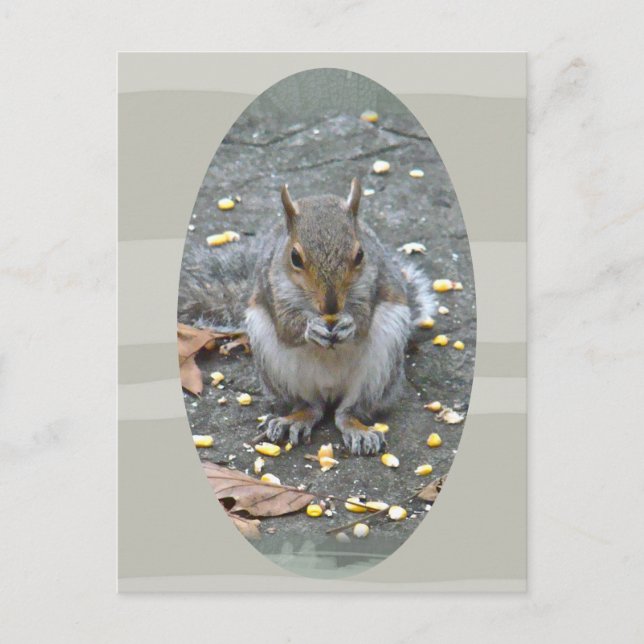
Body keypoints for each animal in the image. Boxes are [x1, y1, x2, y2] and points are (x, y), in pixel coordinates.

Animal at [178, 178, 436, 455]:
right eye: (295, 257)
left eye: (360, 255)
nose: (331, 305)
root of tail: (330, 390)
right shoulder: (273, 289)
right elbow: (286, 326)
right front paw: (310, 329)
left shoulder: (375, 283)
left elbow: (364, 320)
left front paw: (349, 325)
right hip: (275, 364)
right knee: (310, 406)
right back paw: (293, 420)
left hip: (381, 366)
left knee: (348, 411)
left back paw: (358, 429)